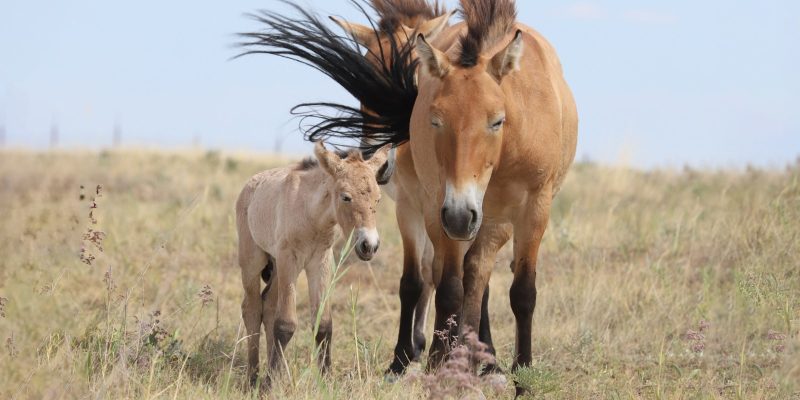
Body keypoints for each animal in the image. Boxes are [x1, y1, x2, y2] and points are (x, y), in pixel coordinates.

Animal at [236, 142, 391, 386]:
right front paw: (267, 386)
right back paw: (253, 377)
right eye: (345, 197)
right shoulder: (289, 259)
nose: (369, 246)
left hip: (278, 268)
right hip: (253, 261)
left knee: (268, 305)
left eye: (378, 199)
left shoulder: (321, 262)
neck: (311, 215)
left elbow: (324, 324)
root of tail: (249, 186)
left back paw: (279, 372)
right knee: (251, 307)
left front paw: (326, 381)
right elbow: (285, 324)